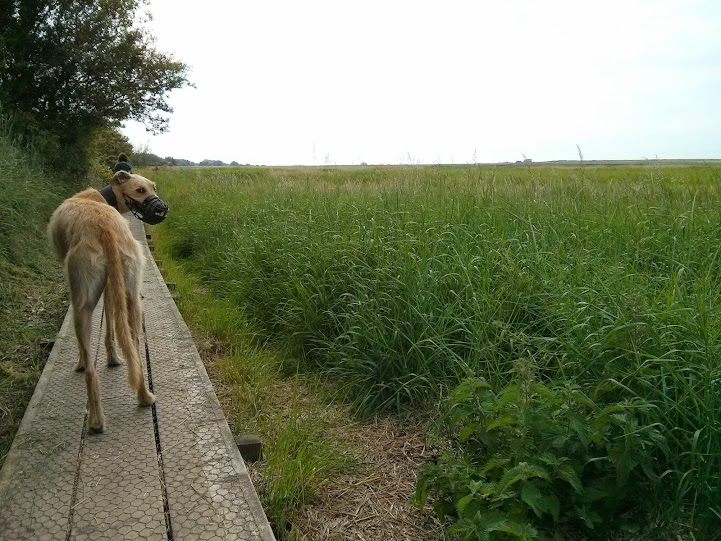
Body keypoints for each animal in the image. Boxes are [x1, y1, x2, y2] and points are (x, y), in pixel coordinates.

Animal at [47, 170, 168, 432]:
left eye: (152, 188)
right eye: (141, 190)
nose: (163, 209)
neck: (102, 199)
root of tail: (105, 228)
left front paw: (83, 362)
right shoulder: (113, 289)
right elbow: (111, 322)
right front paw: (113, 358)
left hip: (81, 303)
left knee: (91, 372)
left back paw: (95, 419)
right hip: (132, 294)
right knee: (133, 346)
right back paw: (144, 396)